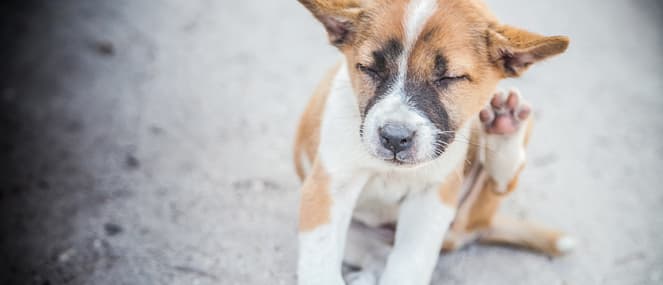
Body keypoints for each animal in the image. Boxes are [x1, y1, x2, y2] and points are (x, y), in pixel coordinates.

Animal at [294, 1, 572, 282]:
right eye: (369, 69)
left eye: (449, 78)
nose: (395, 138)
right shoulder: (327, 188)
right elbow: (320, 261)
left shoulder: (430, 200)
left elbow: (408, 265)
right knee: (374, 251)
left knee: (500, 184)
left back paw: (505, 126)